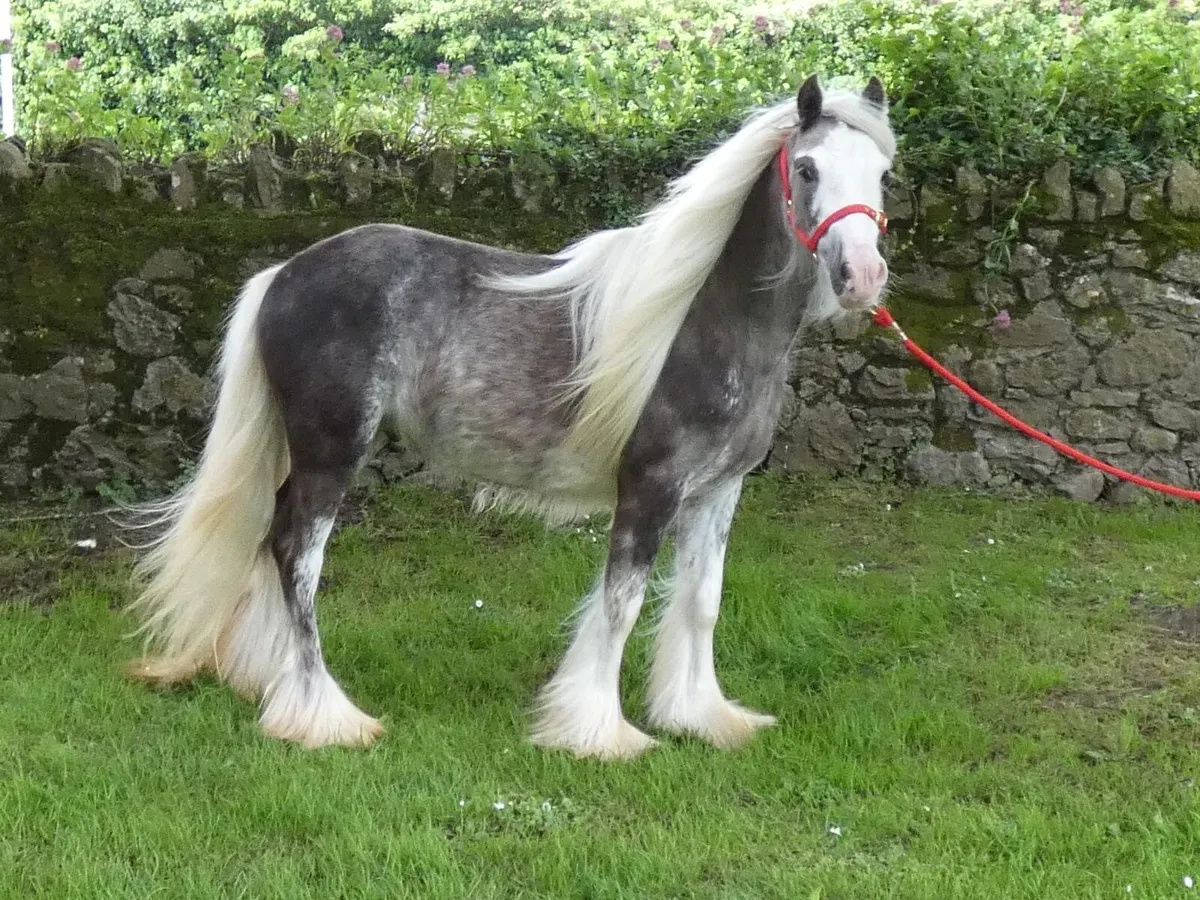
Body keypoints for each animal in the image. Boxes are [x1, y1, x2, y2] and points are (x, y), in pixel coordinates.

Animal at [125, 74, 896, 760]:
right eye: (807, 168)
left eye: (883, 174)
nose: (862, 276)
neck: (701, 320)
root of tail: (282, 275)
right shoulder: (649, 488)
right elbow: (621, 603)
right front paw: (598, 734)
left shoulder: (718, 490)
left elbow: (701, 601)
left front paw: (703, 717)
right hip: (331, 453)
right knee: (297, 555)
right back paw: (325, 716)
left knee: (270, 540)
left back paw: (268, 680)